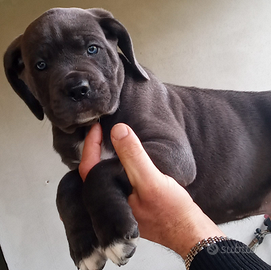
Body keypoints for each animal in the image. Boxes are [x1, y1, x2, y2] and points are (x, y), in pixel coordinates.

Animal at [3, 6, 271, 270]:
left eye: (93, 49)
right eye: (40, 65)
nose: (77, 89)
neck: (92, 124)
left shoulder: (173, 152)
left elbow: (99, 171)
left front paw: (114, 236)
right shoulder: (77, 166)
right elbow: (66, 184)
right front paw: (85, 249)